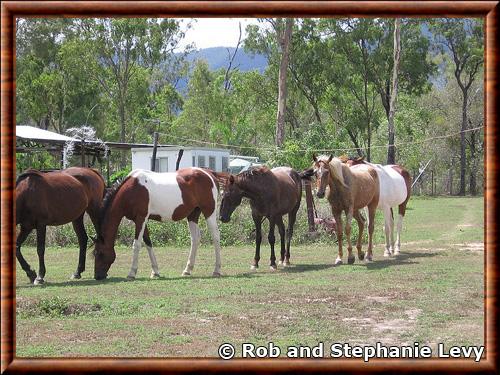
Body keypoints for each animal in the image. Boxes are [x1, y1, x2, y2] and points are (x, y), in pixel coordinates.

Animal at [94, 169, 223, 280]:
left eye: (100, 253)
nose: (97, 276)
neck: (132, 189)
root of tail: (209, 173)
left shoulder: (141, 218)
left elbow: (137, 245)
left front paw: (131, 273)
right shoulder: (141, 220)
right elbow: (148, 243)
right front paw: (155, 272)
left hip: (209, 212)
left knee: (216, 236)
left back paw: (216, 270)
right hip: (192, 215)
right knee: (195, 239)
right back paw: (187, 270)